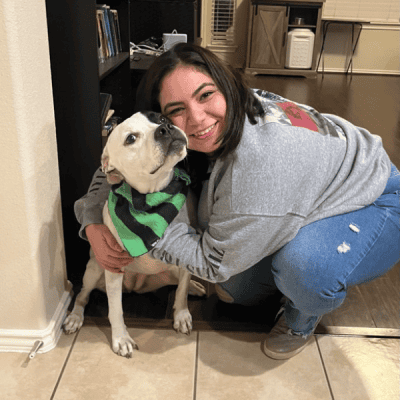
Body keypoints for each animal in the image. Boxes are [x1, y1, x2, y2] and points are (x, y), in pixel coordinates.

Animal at [64, 111, 206, 358]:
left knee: (180, 282)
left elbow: (181, 291)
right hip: (94, 269)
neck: (152, 197)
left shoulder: (189, 250)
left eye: (161, 118)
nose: (166, 128)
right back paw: (74, 317)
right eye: (130, 138)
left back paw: (194, 288)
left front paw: (181, 315)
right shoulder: (113, 266)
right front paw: (121, 339)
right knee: (83, 294)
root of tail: (135, 287)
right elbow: (115, 309)